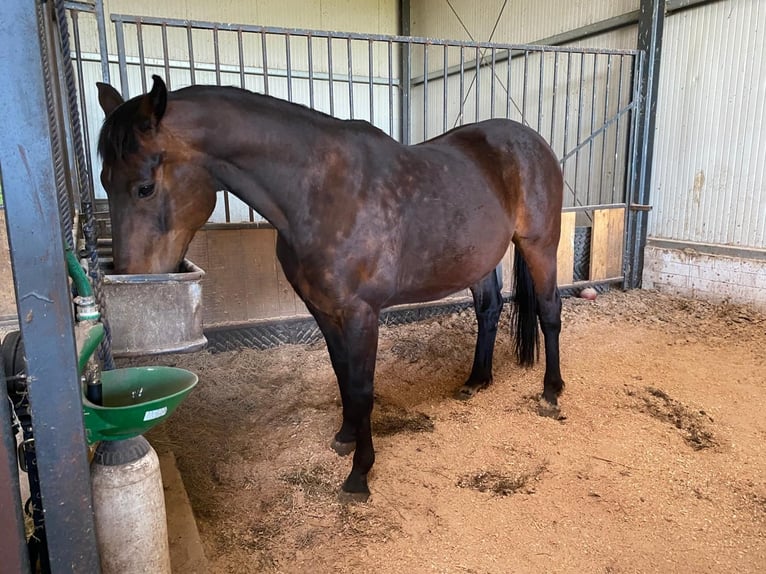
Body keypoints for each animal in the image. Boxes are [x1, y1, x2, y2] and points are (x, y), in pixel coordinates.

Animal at [96, 75, 565, 501]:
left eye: (144, 187)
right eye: (103, 180)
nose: (133, 277)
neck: (320, 194)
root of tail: (532, 142)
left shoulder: (361, 312)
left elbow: (362, 387)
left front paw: (359, 475)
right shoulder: (323, 309)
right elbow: (343, 376)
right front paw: (345, 437)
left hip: (540, 246)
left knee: (548, 311)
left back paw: (551, 392)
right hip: (478, 259)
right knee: (488, 310)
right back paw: (477, 380)